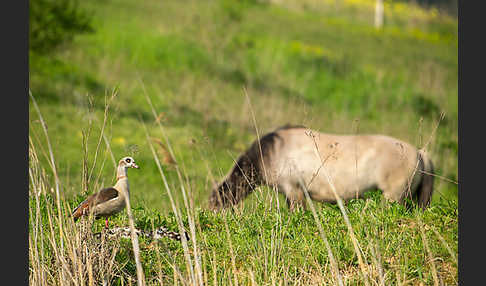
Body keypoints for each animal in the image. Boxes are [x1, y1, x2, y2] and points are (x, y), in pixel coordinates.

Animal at [207, 124, 434, 211]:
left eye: (216, 200)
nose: (209, 214)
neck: (272, 152)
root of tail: (420, 154)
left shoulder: (294, 191)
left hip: (393, 197)